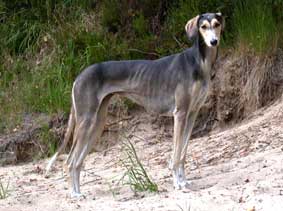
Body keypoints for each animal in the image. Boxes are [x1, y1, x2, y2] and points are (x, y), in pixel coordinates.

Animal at [45, 12, 225, 197]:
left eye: (217, 24)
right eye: (203, 27)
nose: (213, 42)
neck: (198, 61)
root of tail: (78, 77)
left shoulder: (192, 114)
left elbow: (182, 153)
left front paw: (183, 181)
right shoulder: (180, 114)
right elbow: (175, 156)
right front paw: (177, 183)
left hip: (97, 125)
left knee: (77, 162)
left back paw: (78, 191)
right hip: (86, 122)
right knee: (70, 161)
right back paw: (74, 194)